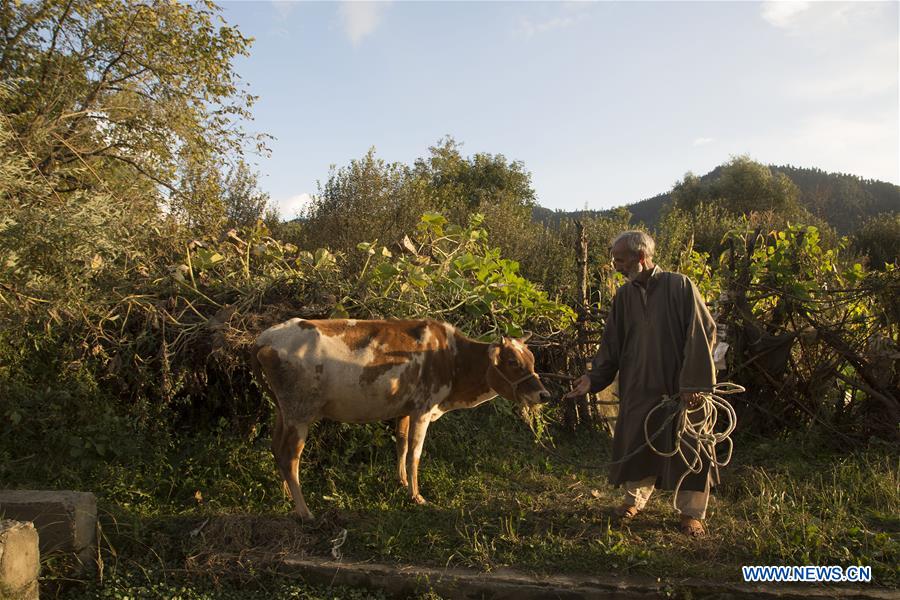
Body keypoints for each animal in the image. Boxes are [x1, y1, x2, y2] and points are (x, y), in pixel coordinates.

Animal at [250, 318, 552, 520]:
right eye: (513, 362)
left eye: (532, 359)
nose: (544, 394)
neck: (452, 358)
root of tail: (265, 339)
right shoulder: (423, 409)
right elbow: (415, 453)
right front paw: (417, 496)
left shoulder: (406, 409)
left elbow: (402, 444)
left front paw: (403, 483)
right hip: (299, 414)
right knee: (290, 457)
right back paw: (304, 511)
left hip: (284, 412)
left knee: (276, 449)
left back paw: (287, 493)